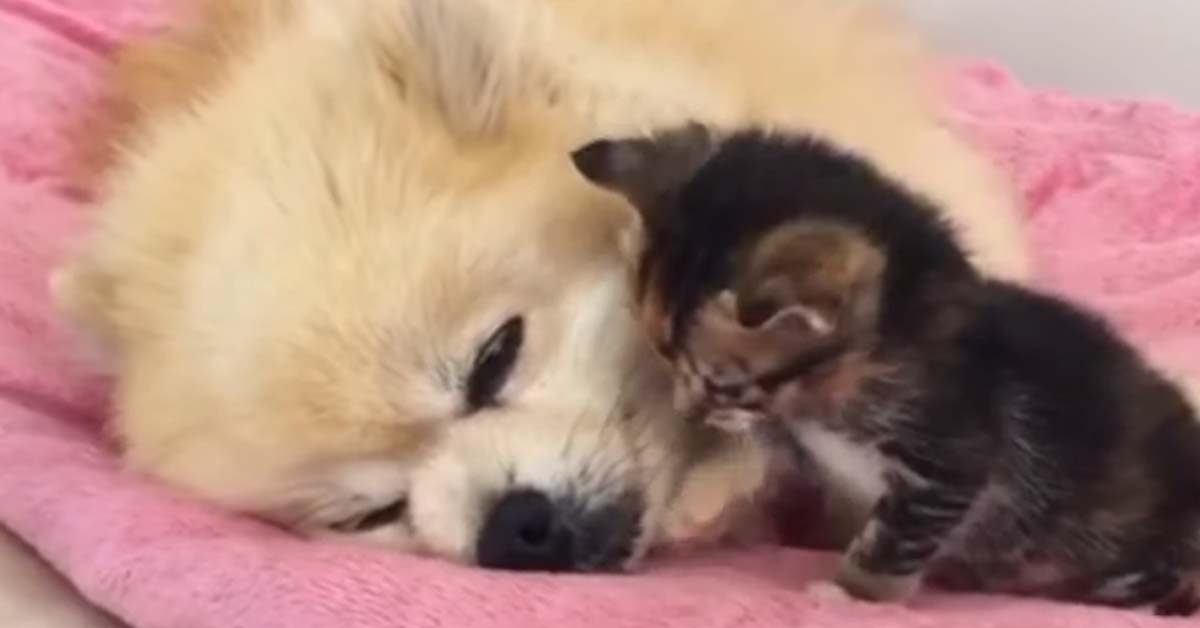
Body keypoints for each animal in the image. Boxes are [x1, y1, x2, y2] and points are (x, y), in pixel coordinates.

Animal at [566, 125, 1200, 614]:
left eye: (721, 383)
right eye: (664, 359)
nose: (688, 411)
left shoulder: (952, 457)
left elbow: (892, 538)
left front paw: (852, 594)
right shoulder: (802, 431)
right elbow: (768, 450)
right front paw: (693, 501)